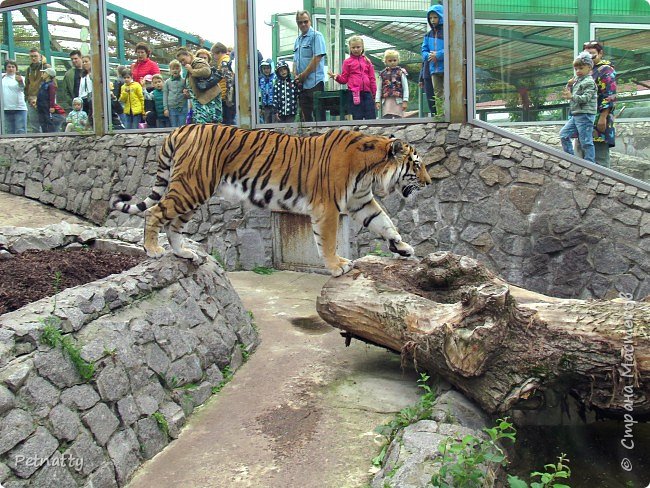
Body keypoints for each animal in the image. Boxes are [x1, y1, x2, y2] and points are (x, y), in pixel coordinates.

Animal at [111, 124, 430, 276]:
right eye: (416, 165)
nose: (429, 183)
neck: (370, 173)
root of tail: (181, 128)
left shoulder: (361, 202)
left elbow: (385, 224)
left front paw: (403, 248)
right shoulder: (327, 208)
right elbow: (326, 241)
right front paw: (337, 265)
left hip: (193, 192)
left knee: (172, 224)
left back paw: (184, 253)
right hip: (191, 186)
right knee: (154, 212)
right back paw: (153, 250)